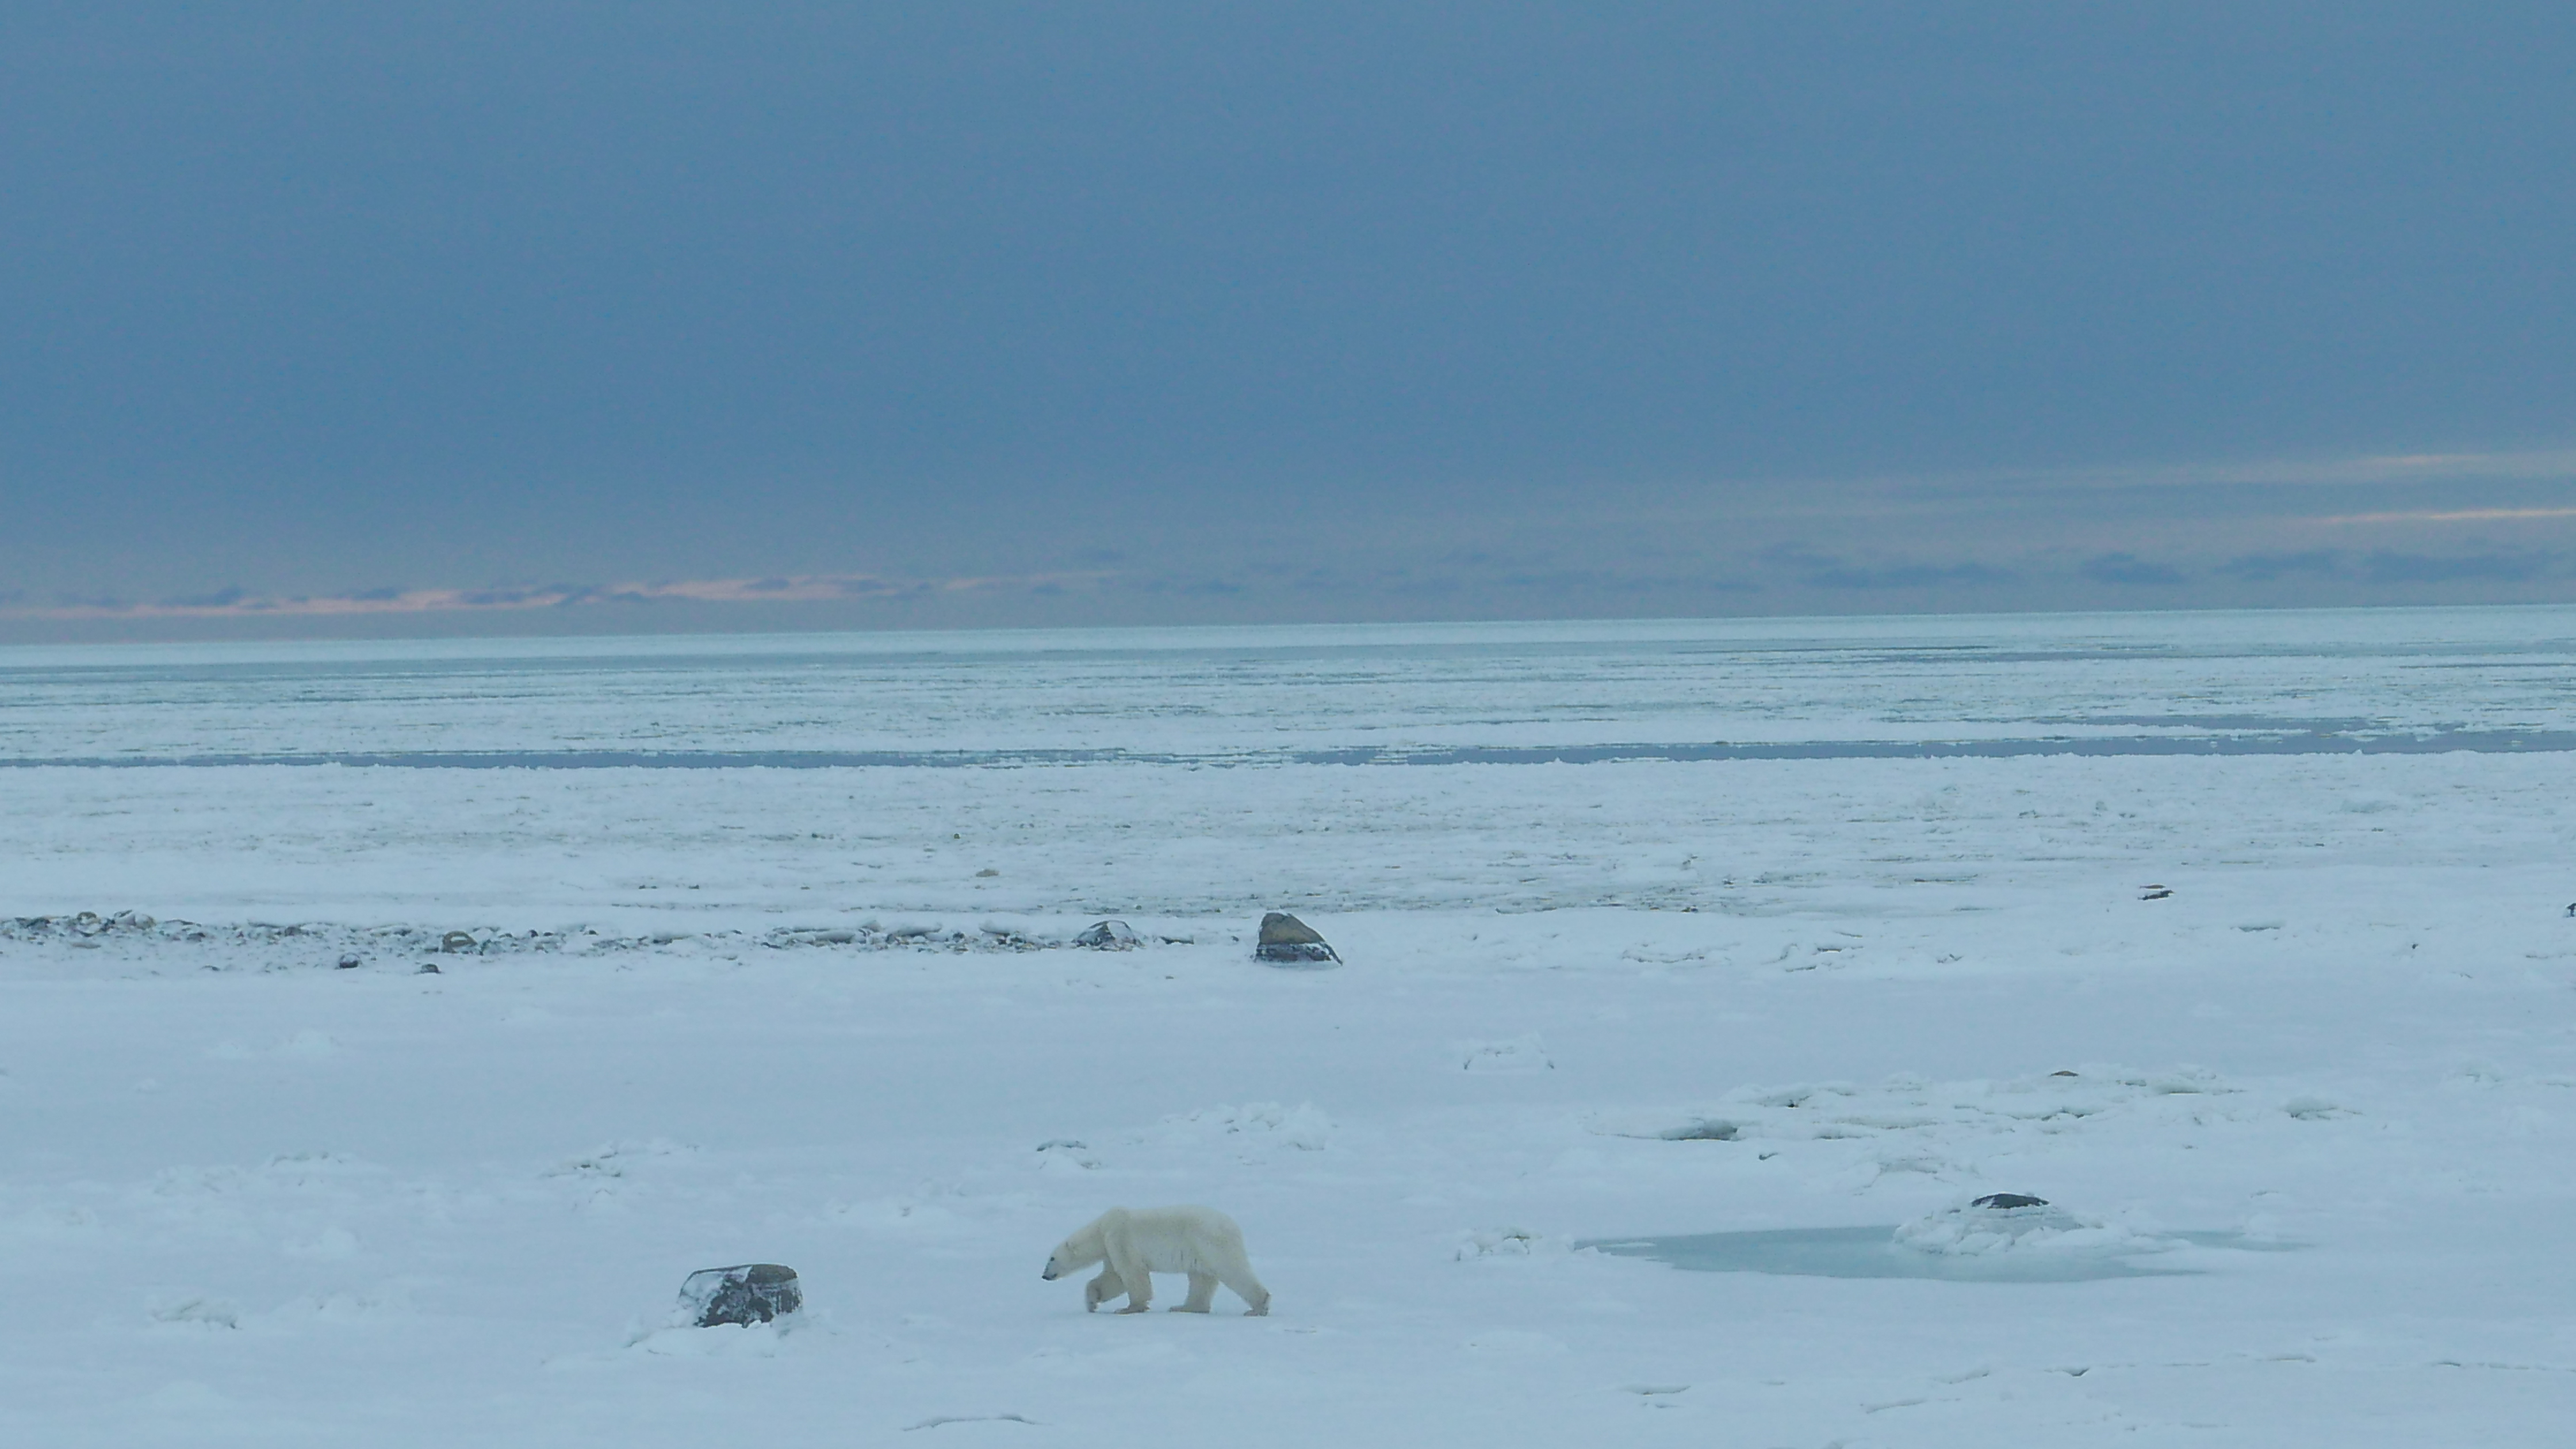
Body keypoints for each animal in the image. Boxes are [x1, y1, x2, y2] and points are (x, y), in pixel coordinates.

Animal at [1040, 1201, 1272, 1314]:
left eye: (1051, 1259)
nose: (1044, 1276)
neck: (1101, 1228)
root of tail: (1233, 1226)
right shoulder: (1110, 1249)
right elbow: (1113, 1278)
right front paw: (1092, 1303)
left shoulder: (1120, 1237)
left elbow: (1132, 1273)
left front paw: (1129, 1308)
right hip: (1199, 1250)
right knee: (1201, 1279)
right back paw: (1185, 1307)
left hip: (1210, 1242)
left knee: (1232, 1270)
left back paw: (1258, 1307)